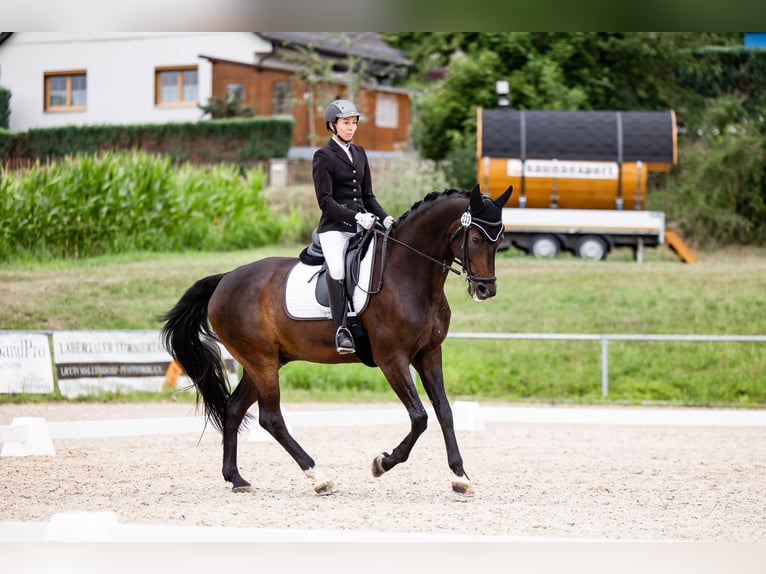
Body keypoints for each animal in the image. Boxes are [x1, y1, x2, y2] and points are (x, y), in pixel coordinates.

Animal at [162, 182, 512, 498]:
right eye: (476, 238)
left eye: (500, 239)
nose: (486, 289)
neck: (411, 275)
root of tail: (224, 280)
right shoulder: (392, 359)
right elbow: (420, 417)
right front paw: (382, 463)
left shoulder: (428, 354)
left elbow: (444, 412)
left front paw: (460, 477)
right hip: (261, 362)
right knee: (271, 418)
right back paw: (320, 478)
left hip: (263, 361)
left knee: (234, 409)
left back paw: (236, 478)